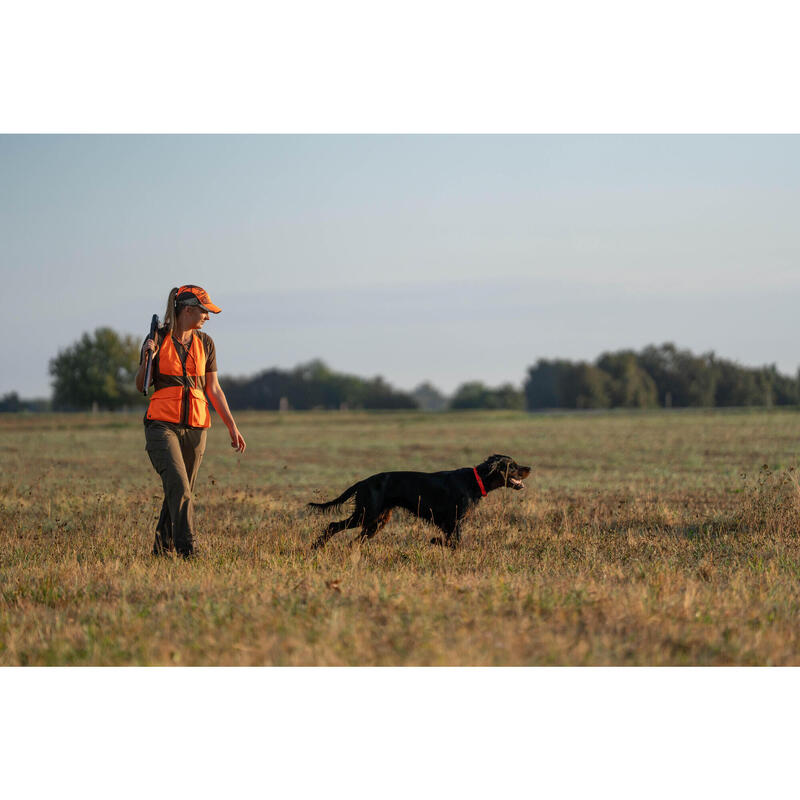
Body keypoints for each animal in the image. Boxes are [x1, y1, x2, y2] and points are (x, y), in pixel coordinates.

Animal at [308, 456, 532, 552]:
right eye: (512, 466)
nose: (529, 468)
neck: (473, 481)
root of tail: (363, 482)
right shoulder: (455, 521)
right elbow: (455, 543)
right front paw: (435, 541)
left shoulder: (450, 524)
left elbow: (452, 542)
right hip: (367, 514)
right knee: (333, 526)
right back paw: (316, 547)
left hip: (377, 520)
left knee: (355, 540)